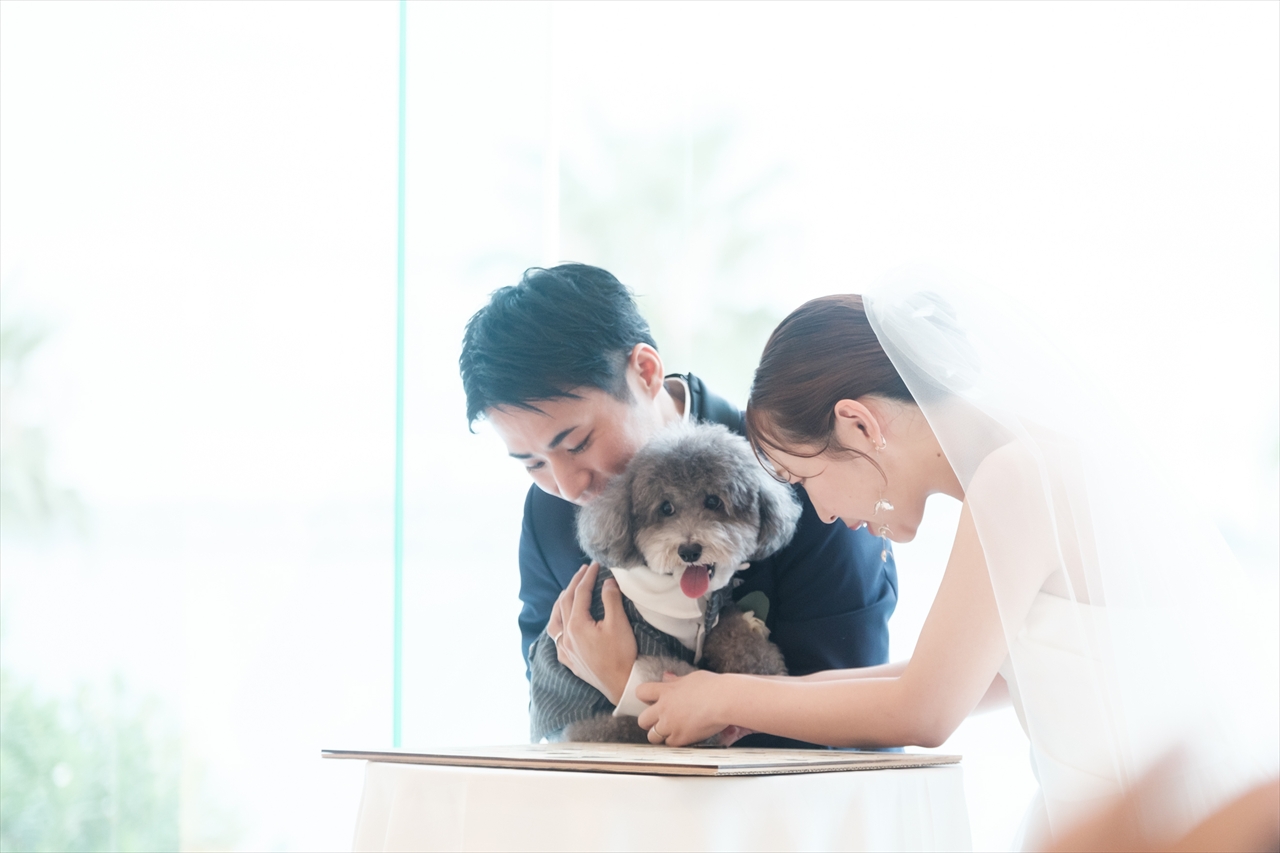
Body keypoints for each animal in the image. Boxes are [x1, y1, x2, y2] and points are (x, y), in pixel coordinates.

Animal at [527, 422, 802, 743]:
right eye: (666, 508)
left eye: (713, 501)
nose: (689, 551)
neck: (685, 600)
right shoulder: (646, 642)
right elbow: (678, 679)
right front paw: (708, 713)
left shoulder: (715, 617)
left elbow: (736, 635)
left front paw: (765, 672)